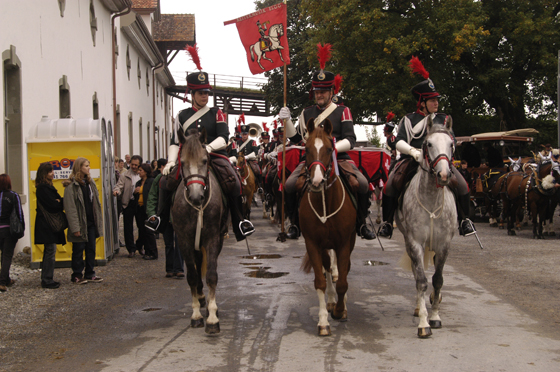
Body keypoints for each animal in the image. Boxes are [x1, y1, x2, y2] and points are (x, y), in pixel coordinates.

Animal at [173, 128, 230, 334]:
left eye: (205, 160)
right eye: (182, 162)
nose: (196, 196)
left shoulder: (212, 238)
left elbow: (212, 274)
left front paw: (212, 317)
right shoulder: (184, 240)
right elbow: (191, 275)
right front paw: (196, 314)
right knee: (196, 267)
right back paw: (199, 296)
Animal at [300, 118, 356, 338]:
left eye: (330, 149)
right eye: (306, 149)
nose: (316, 182)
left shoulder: (344, 243)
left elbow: (343, 281)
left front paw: (341, 310)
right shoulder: (313, 244)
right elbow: (320, 282)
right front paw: (324, 320)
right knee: (327, 269)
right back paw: (331, 301)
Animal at [396, 115, 458, 338]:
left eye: (451, 144)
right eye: (428, 144)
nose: (444, 175)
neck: (431, 199)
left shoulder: (445, 244)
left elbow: (438, 280)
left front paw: (435, 316)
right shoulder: (415, 242)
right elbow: (421, 280)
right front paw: (424, 322)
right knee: (417, 274)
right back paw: (418, 307)